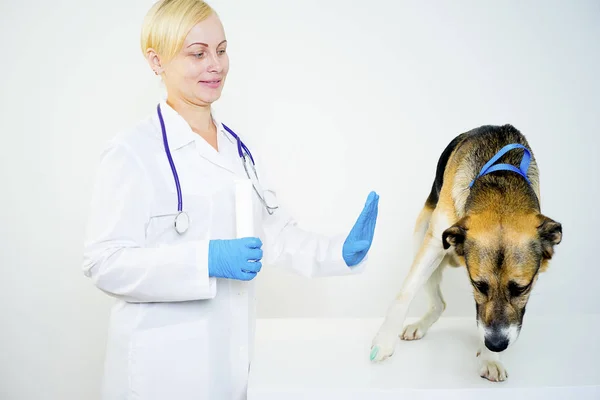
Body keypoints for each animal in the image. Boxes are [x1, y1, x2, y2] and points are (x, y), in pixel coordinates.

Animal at [370, 124, 564, 382]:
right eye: (478, 284)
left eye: (522, 288)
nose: (496, 344)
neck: (500, 182)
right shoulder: (434, 244)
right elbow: (404, 294)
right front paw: (383, 341)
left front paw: (490, 358)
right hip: (421, 237)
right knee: (437, 302)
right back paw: (418, 326)